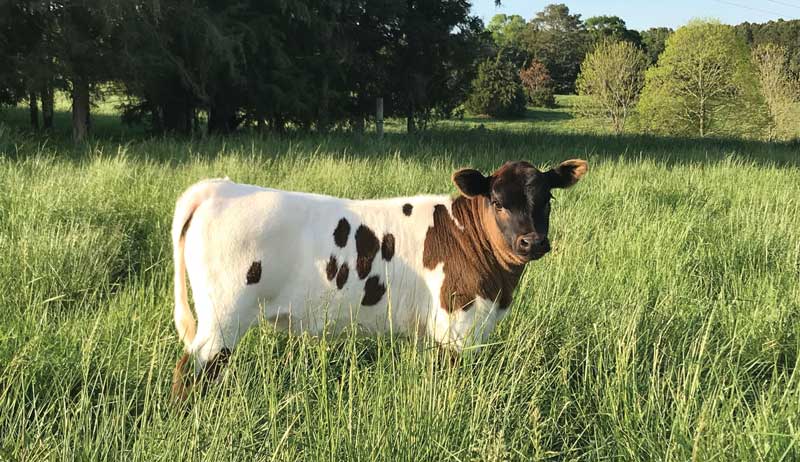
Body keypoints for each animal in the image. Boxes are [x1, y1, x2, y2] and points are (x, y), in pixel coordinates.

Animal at [171, 159, 588, 398]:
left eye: (547, 200)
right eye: (498, 202)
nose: (532, 241)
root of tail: (220, 187)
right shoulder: (457, 325)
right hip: (222, 317)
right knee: (190, 372)